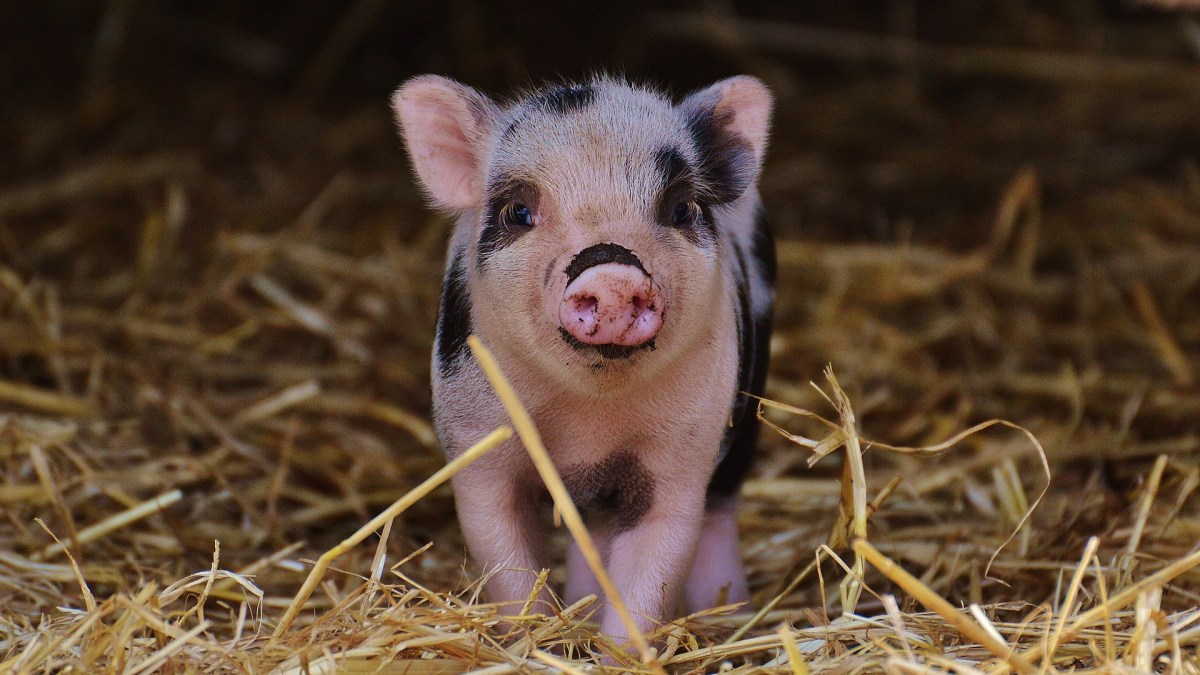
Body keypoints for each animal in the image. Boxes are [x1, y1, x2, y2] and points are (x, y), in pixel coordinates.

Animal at [390, 74, 775, 643]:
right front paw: (533, 640)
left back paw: (728, 616)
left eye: (681, 209)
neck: (589, 424)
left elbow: (653, 570)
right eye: (518, 212)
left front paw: (617, 650)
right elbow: (507, 565)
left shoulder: (682, 456)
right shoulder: (477, 445)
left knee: (720, 509)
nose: (611, 271)